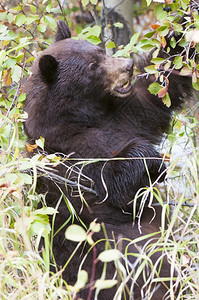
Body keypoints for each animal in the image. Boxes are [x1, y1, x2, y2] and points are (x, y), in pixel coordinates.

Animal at [23, 3, 197, 298]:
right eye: (93, 66)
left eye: (99, 50)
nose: (127, 65)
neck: (83, 118)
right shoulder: (68, 158)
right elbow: (111, 184)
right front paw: (150, 158)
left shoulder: (125, 114)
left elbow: (161, 83)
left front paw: (184, 24)